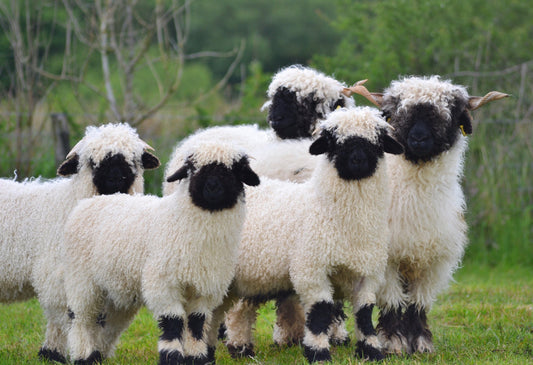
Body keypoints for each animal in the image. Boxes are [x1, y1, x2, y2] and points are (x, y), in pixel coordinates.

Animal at [0, 121, 159, 362]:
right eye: (92, 162)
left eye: (134, 160)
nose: (116, 180)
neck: (69, 204)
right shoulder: (57, 277)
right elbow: (68, 318)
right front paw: (60, 353)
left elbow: (109, 324)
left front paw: (95, 353)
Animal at [60, 141, 260, 364]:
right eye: (192, 169)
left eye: (233, 170)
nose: (212, 187)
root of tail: (91, 201)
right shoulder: (163, 282)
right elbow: (173, 321)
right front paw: (172, 357)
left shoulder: (205, 287)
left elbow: (196, 323)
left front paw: (196, 357)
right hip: (81, 279)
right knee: (81, 318)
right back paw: (84, 355)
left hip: (113, 285)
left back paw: (96, 355)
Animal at [204, 106, 404, 362]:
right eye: (333, 141)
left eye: (376, 142)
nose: (357, 160)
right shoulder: (311, 269)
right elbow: (320, 312)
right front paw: (319, 353)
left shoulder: (368, 273)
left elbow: (365, 313)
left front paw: (371, 351)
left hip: (249, 275)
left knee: (231, 310)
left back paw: (233, 350)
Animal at [354, 74, 508, 352]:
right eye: (396, 112)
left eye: (451, 113)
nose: (418, 138)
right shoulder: (387, 259)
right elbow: (393, 301)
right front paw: (393, 342)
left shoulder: (434, 260)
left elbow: (418, 303)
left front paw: (421, 342)